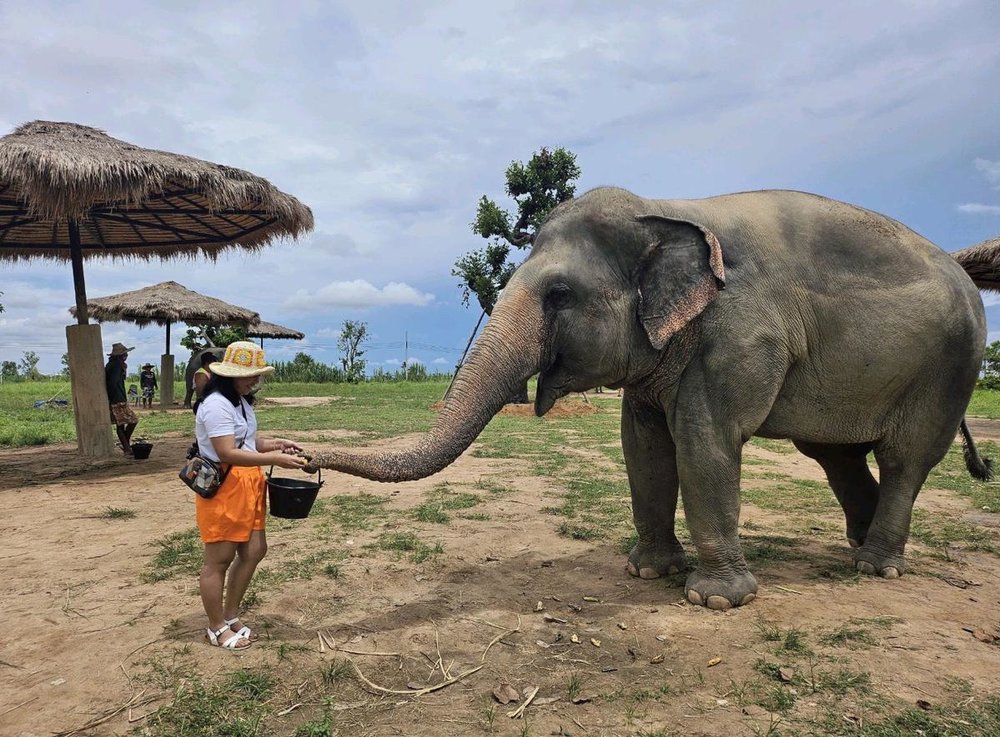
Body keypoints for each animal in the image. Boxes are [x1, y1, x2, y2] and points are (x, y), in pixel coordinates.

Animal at [306, 187, 995, 609]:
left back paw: (877, 566)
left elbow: (703, 439)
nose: (304, 457)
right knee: (834, 454)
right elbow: (642, 444)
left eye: (559, 295)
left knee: (905, 457)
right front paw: (647, 571)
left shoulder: (743, 331)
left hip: (949, 368)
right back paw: (858, 544)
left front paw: (715, 599)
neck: (665, 210)